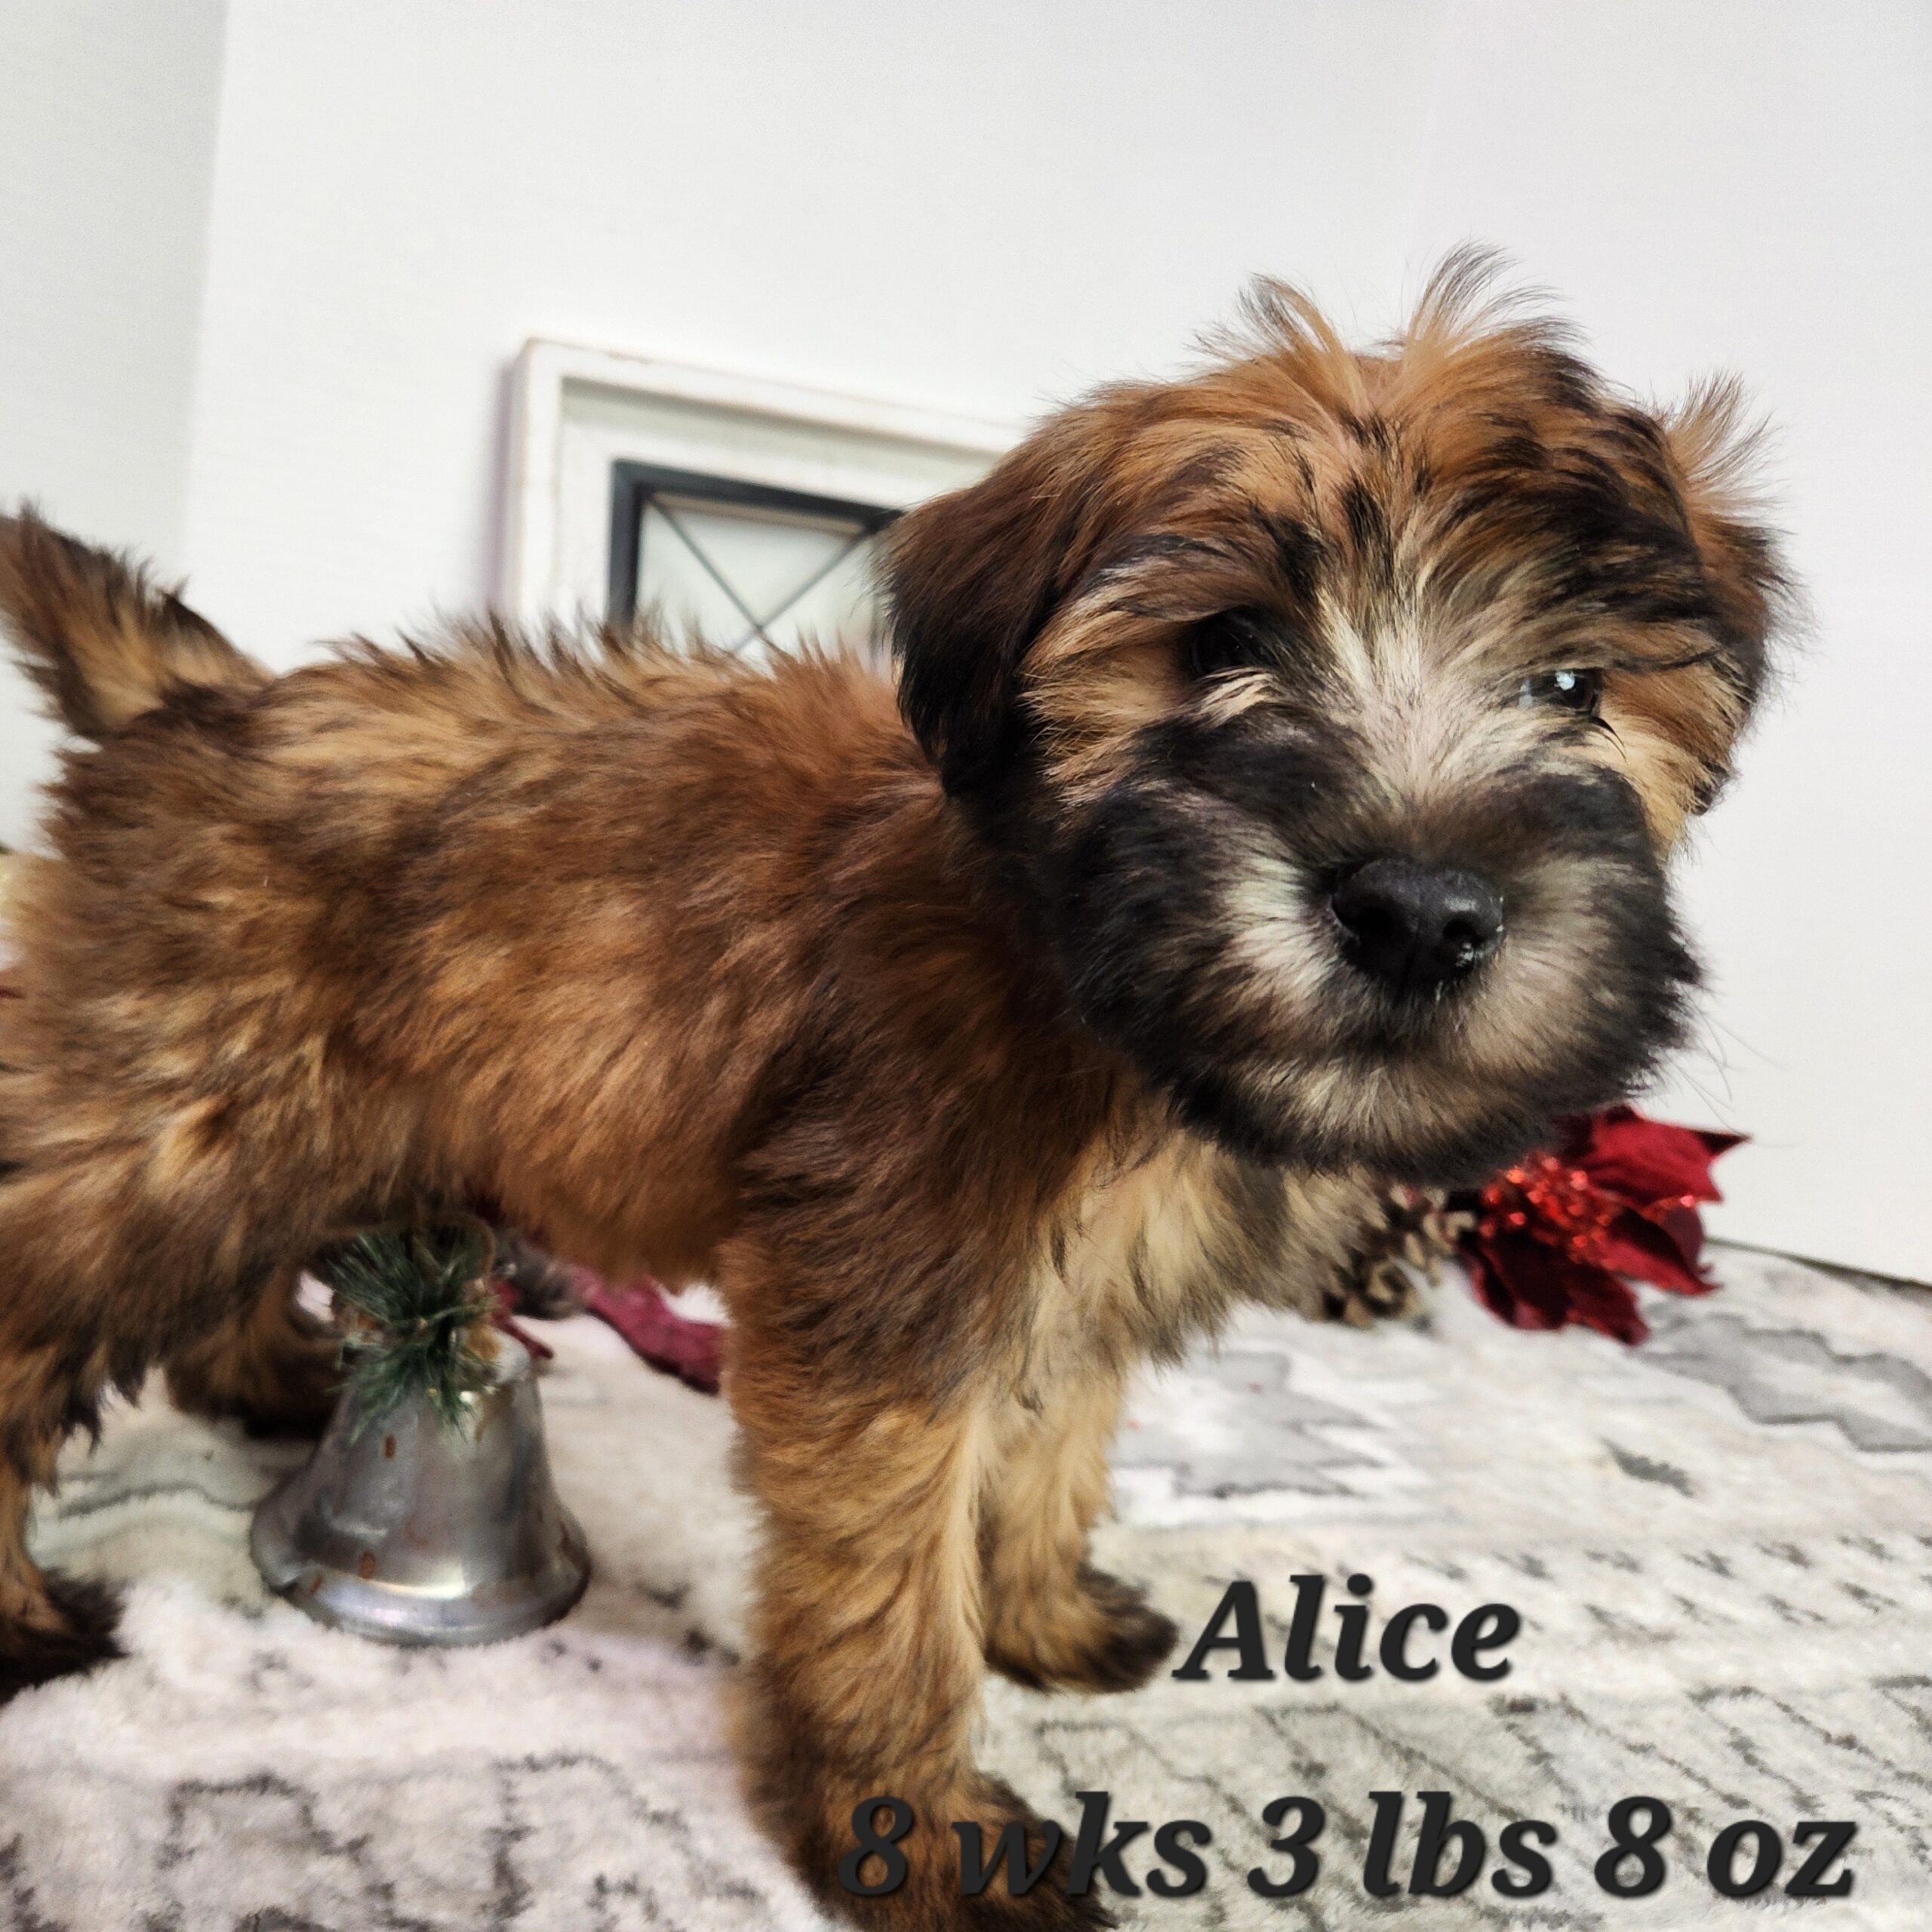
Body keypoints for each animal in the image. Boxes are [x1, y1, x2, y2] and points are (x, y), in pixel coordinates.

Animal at [0, 260, 1777, 1932]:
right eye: (1222, 645)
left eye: (1572, 684)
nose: (1418, 910)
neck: (1083, 967)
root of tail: (197, 709)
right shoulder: (889, 1307)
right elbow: (891, 1593)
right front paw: (913, 1831)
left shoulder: (1061, 1288)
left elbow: (1049, 1456)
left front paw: (1041, 1611)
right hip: (164, 1121)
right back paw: (25, 1611)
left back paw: (273, 1376)